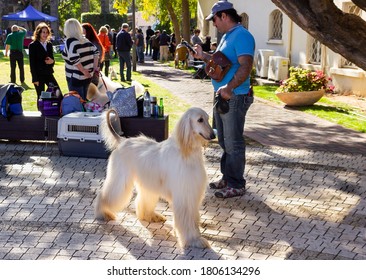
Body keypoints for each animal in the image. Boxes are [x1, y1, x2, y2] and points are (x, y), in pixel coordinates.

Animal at [94, 108, 216, 248]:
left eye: (208, 118)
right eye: (200, 120)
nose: (213, 135)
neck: (187, 152)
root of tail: (123, 140)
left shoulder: (193, 191)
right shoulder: (184, 193)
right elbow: (187, 218)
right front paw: (194, 239)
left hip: (147, 181)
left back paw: (150, 216)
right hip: (120, 178)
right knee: (107, 194)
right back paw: (102, 212)